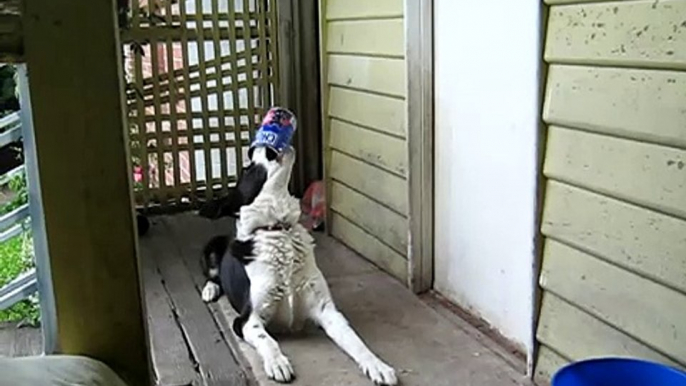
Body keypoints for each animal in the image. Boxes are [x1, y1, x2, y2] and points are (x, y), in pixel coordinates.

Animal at [198, 146, 398, 384]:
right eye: (247, 169)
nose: (254, 147)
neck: (279, 229)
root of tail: (228, 237)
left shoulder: (328, 311)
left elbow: (355, 341)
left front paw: (377, 365)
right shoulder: (246, 320)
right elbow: (267, 340)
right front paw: (277, 362)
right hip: (211, 246)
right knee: (212, 276)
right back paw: (209, 290)